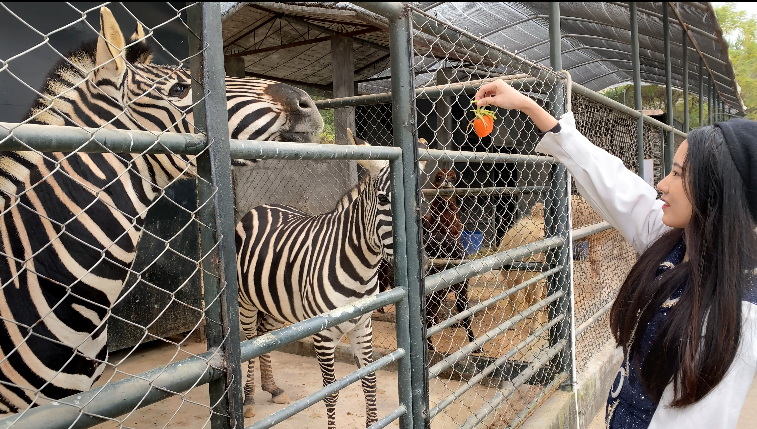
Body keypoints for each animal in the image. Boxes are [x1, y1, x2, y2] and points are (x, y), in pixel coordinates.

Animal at [238, 129, 420, 426]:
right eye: (383, 199)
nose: (421, 262)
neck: (361, 271)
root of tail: (262, 207)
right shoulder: (323, 336)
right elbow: (331, 392)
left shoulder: (363, 327)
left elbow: (369, 381)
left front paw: (374, 422)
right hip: (245, 300)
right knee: (251, 340)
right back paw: (250, 399)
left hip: (277, 304)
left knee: (265, 335)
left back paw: (273, 388)